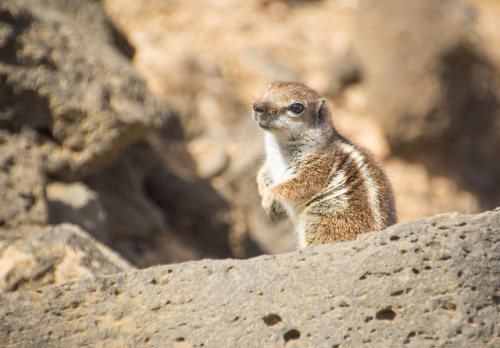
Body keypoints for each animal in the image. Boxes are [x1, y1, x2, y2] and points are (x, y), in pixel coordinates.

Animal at [256, 81, 396, 247]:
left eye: (297, 107)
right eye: (267, 90)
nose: (256, 107)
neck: (278, 143)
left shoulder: (319, 167)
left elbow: (298, 186)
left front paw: (269, 197)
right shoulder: (271, 163)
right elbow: (263, 173)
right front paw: (262, 190)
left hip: (325, 222)